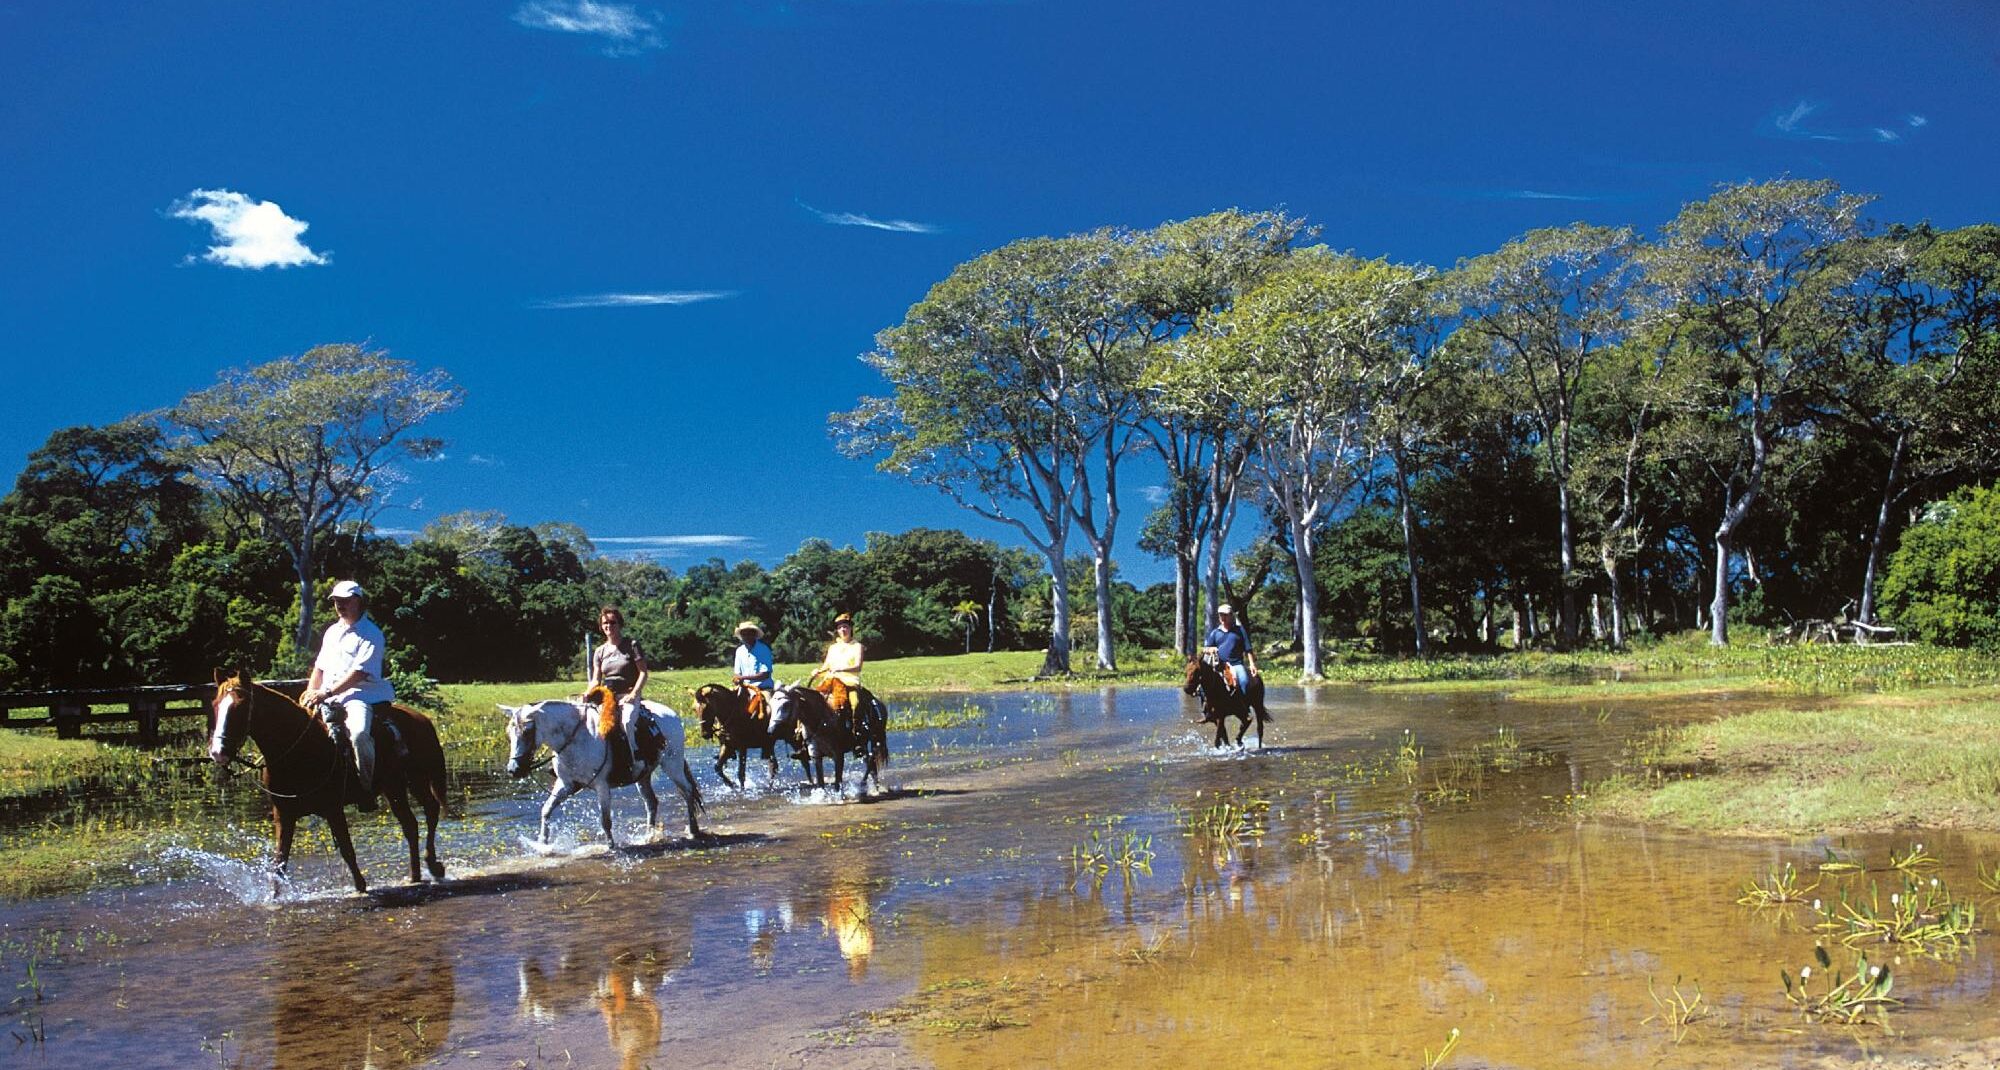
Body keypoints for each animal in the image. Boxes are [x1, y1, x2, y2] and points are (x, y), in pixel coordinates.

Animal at [208, 672, 450, 896]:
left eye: (240, 706)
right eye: (215, 705)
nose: (218, 752)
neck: (299, 748)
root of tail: (422, 719)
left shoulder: (333, 809)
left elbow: (347, 850)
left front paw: (361, 887)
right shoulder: (284, 814)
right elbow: (280, 862)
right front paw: (273, 898)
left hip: (412, 782)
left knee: (429, 811)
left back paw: (433, 867)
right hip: (397, 788)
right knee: (411, 824)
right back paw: (416, 875)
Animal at [500, 700, 704, 852]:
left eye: (527, 731)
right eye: (509, 732)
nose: (513, 769)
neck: (576, 739)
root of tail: (671, 714)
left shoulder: (601, 786)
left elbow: (605, 820)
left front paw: (610, 847)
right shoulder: (566, 784)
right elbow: (546, 810)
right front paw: (542, 844)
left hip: (672, 765)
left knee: (687, 792)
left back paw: (693, 830)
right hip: (643, 776)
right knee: (652, 802)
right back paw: (649, 835)